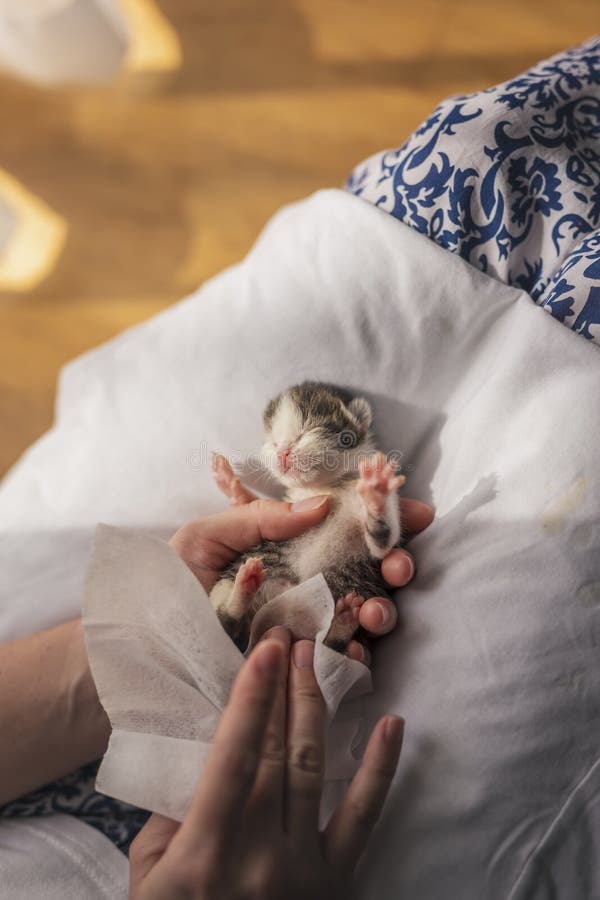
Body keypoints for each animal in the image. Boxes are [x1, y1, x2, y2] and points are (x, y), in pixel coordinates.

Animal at [210, 382, 404, 652]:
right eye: (273, 442)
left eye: (306, 431)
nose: (282, 452)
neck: (322, 488)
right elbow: (245, 504)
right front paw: (230, 483)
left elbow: (383, 542)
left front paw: (376, 494)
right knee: (227, 621)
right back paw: (243, 588)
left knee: (328, 644)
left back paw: (344, 621)